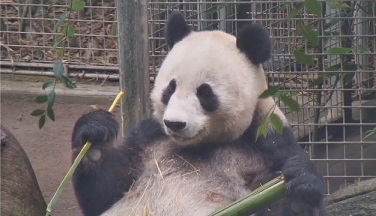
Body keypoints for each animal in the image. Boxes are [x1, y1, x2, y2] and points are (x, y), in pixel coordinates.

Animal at [72, 12, 324, 216]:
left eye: (205, 93)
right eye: (170, 88)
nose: (175, 123)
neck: (202, 146)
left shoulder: (268, 142)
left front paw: (299, 189)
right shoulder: (147, 138)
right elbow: (104, 194)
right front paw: (94, 138)